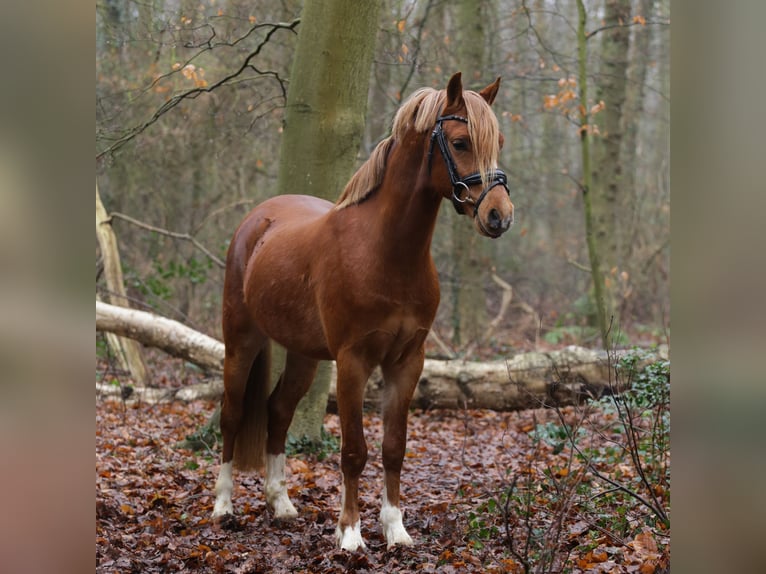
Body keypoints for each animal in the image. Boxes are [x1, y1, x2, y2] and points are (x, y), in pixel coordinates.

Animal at [212, 73, 516, 552]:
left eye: (498, 141)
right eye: (461, 142)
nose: (498, 215)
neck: (385, 251)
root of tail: (257, 221)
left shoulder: (407, 362)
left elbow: (394, 447)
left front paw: (395, 528)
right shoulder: (353, 361)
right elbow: (354, 451)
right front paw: (350, 533)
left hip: (304, 356)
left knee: (278, 411)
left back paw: (280, 503)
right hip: (241, 341)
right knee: (233, 414)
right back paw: (223, 506)